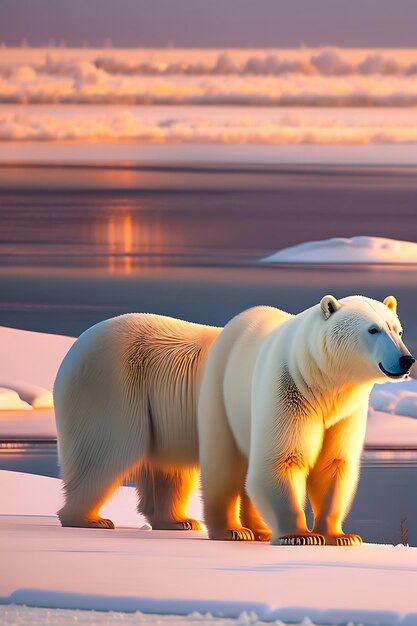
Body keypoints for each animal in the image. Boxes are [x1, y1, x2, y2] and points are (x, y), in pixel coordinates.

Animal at [197, 292, 412, 540]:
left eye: (398, 330)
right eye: (373, 329)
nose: (406, 360)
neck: (321, 383)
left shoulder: (346, 413)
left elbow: (333, 463)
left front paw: (339, 536)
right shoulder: (289, 392)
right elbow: (282, 459)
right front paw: (299, 535)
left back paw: (260, 530)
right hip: (220, 392)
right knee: (222, 464)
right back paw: (231, 530)